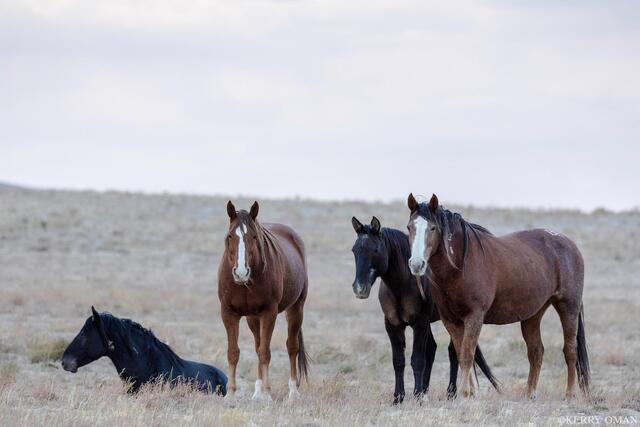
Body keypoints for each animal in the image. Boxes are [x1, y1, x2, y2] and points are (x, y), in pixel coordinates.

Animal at [218, 201, 309, 400]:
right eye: (229, 236)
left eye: (253, 236)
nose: (241, 273)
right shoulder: (228, 313)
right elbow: (233, 352)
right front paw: (231, 393)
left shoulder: (269, 313)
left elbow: (265, 353)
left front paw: (267, 394)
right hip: (253, 318)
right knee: (257, 345)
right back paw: (257, 393)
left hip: (296, 308)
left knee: (292, 347)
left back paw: (292, 392)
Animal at [351, 216, 500, 403]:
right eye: (354, 250)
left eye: (375, 249)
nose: (359, 288)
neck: (402, 285)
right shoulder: (392, 325)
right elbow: (398, 361)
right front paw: (399, 397)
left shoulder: (419, 323)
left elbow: (417, 359)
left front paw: (417, 396)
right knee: (434, 349)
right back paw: (425, 390)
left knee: (452, 352)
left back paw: (450, 393)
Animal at [406, 193, 590, 399]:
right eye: (409, 227)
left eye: (432, 228)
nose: (416, 264)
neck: (461, 265)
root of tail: (569, 244)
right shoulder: (450, 320)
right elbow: (462, 354)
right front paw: (470, 392)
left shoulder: (475, 317)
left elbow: (467, 355)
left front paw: (464, 393)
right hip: (533, 315)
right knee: (536, 352)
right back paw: (530, 394)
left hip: (568, 307)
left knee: (570, 351)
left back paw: (570, 394)